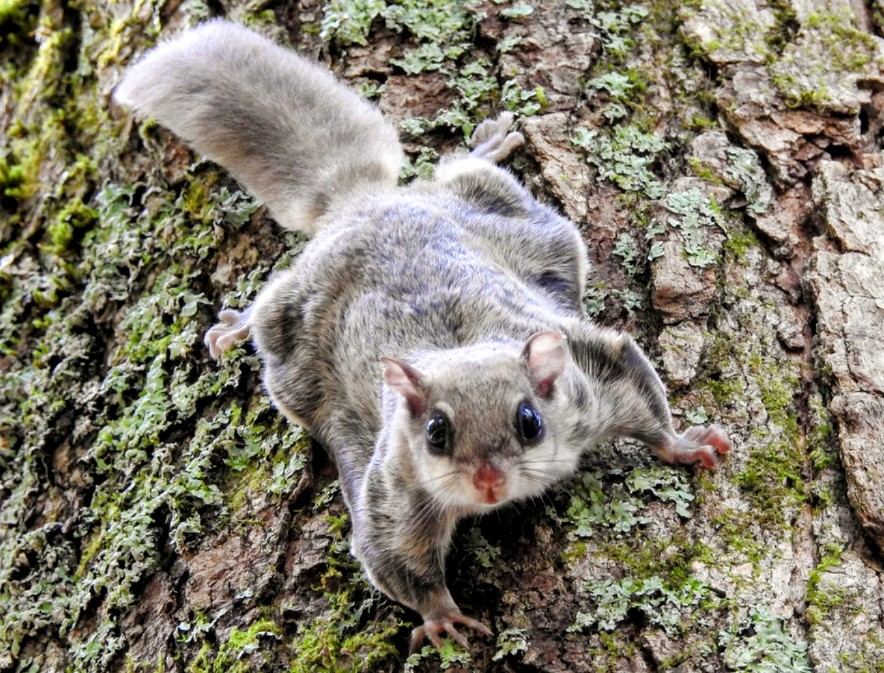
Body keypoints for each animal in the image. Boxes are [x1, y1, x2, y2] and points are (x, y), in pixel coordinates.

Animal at [114, 19, 732, 652]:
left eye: (530, 422)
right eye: (436, 433)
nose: (489, 482)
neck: (460, 349)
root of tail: (362, 201)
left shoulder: (592, 377)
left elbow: (639, 394)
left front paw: (683, 445)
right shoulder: (396, 490)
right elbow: (395, 558)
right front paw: (442, 618)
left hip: (504, 211)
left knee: (458, 170)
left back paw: (486, 144)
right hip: (289, 317)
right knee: (270, 301)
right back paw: (235, 328)